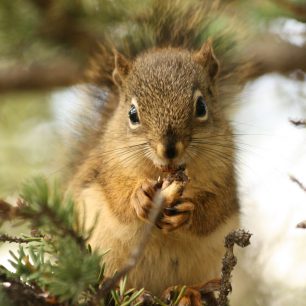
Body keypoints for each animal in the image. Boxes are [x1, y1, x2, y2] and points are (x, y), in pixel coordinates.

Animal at [65, 0, 247, 302]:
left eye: (201, 107)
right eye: (132, 114)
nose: (169, 149)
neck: (161, 171)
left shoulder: (225, 177)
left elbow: (214, 210)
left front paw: (189, 210)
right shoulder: (106, 167)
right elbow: (117, 196)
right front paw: (138, 197)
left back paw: (190, 293)